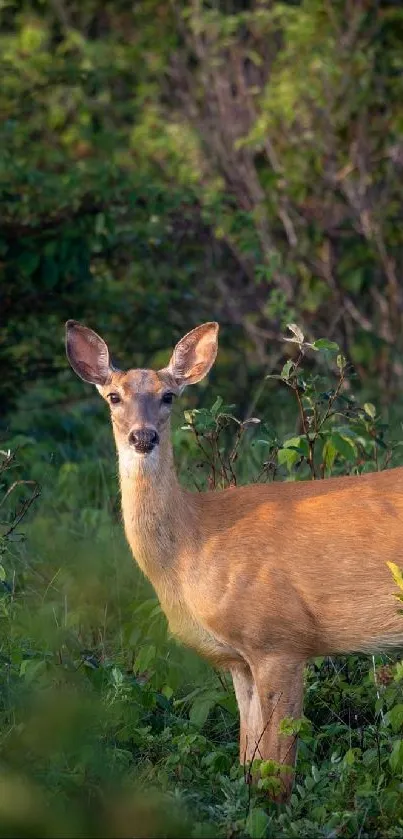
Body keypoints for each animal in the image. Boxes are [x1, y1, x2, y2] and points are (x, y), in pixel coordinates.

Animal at [64, 320, 403, 800]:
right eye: (114, 395)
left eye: (169, 396)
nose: (143, 437)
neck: (194, 543)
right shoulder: (239, 659)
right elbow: (248, 758)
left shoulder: (279, 639)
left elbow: (277, 771)